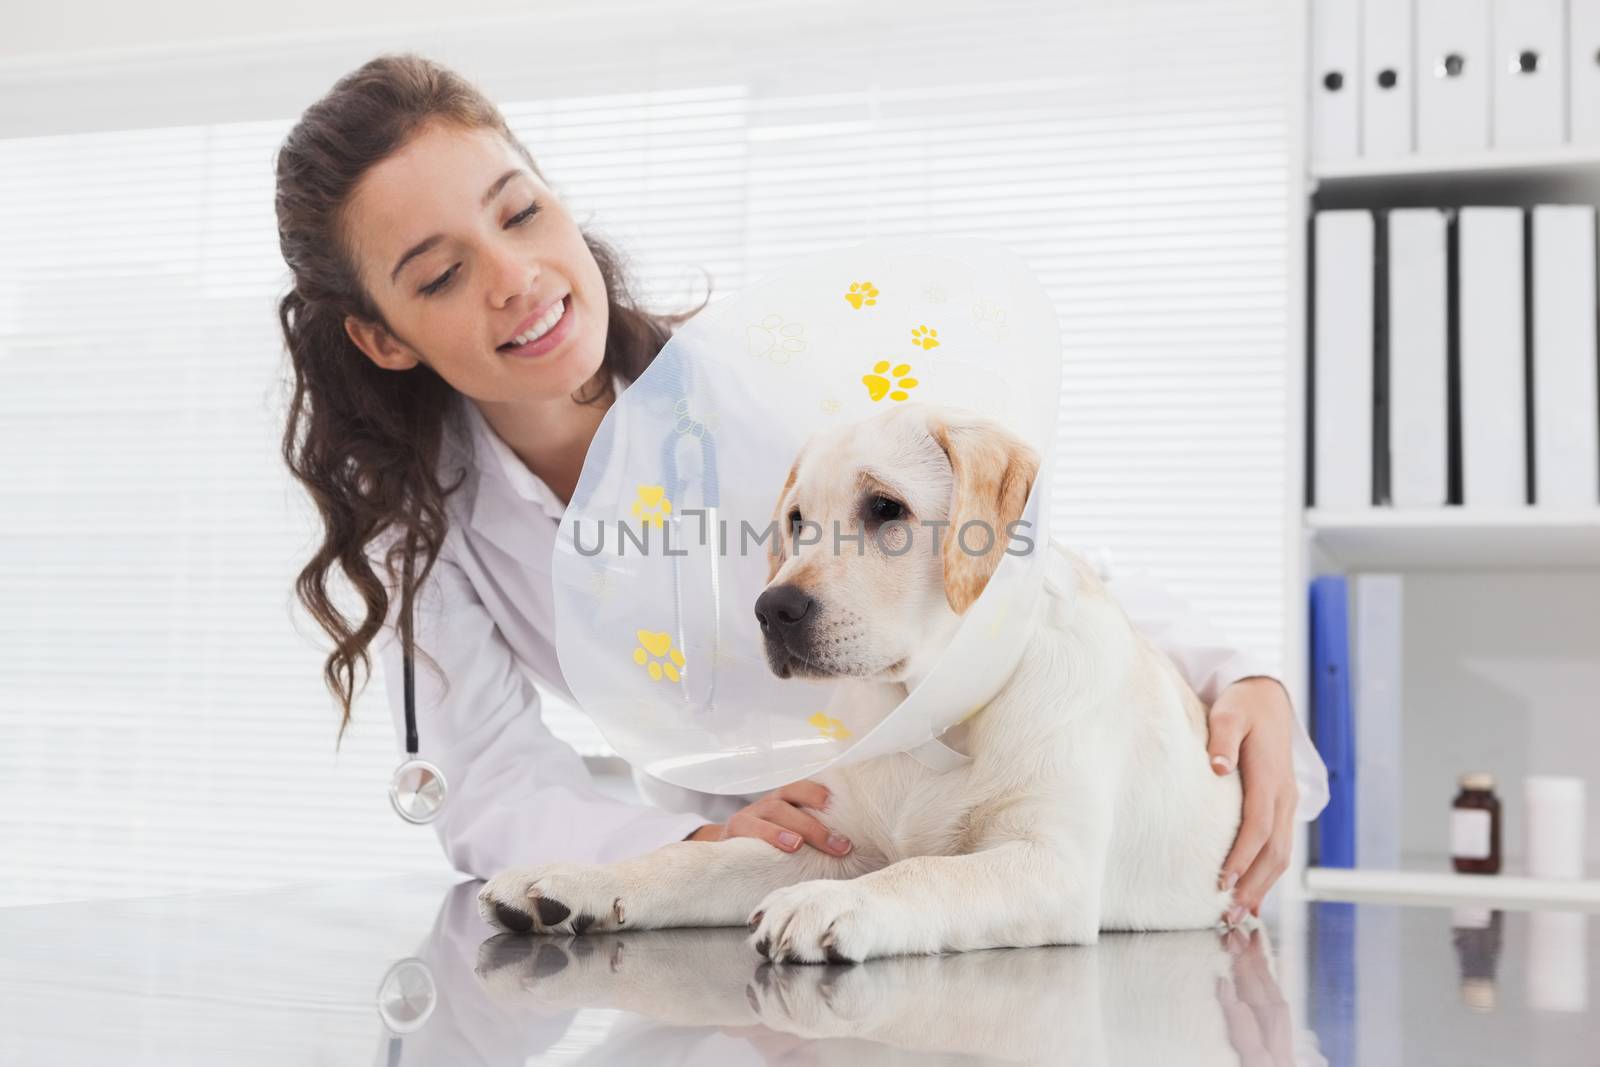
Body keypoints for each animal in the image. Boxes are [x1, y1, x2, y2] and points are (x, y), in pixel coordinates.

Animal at [480, 404, 1241, 966]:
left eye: (885, 508)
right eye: (796, 520)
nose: (772, 609)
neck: (930, 715)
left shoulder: (1053, 864)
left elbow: (926, 871)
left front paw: (830, 904)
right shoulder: (832, 839)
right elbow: (692, 860)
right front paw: (577, 880)